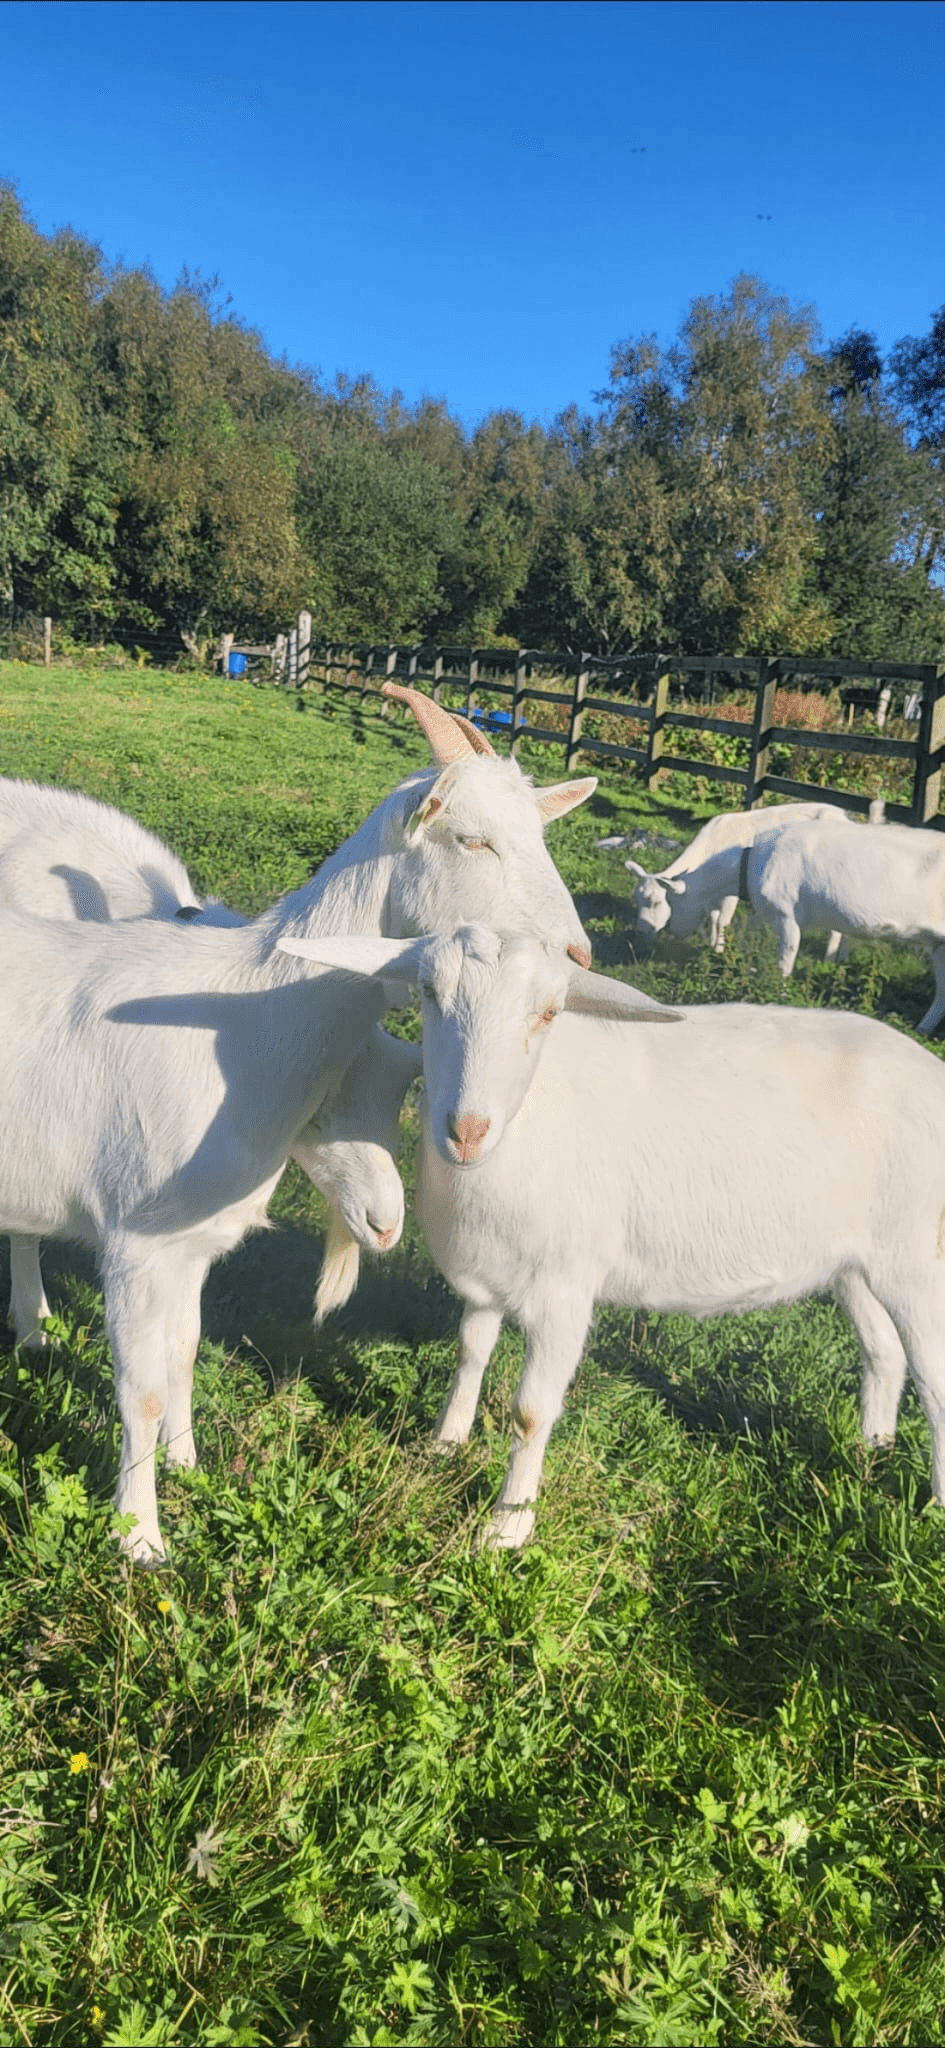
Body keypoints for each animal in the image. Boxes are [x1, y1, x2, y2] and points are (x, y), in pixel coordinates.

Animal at [292, 926, 945, 1549]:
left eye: (550, 1013)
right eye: (429, 993)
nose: (467, 1131)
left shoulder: (564, 1290)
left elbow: (530, 1413)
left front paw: (507, 1528)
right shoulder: (485, 1275)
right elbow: (469, 1355)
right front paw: (443, 1445)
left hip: (915, 1255)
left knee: (933, 1377)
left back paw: (934, 1506)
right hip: (856, 1261)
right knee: (883, 1351)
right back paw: (872, 1450)